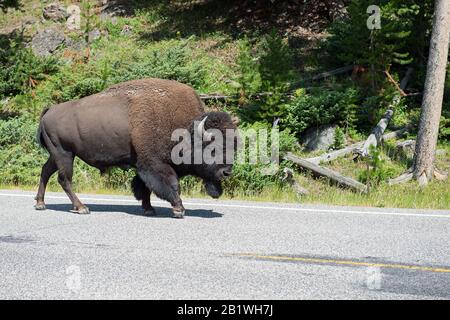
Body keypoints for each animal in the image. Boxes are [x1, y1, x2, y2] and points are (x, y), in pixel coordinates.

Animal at [35, 78, 236, 218]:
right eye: (213, 149)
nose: (227, 172)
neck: (186, 130)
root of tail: (49, 111)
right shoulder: (154, 164)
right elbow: (170, 184)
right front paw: (179, 209)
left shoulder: (145, 165)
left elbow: (144, 186)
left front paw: (149, 209)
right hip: (64, 154)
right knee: (64, 179)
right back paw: (82, 207)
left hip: (57, 155)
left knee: (45, 171)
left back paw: (40, 204)